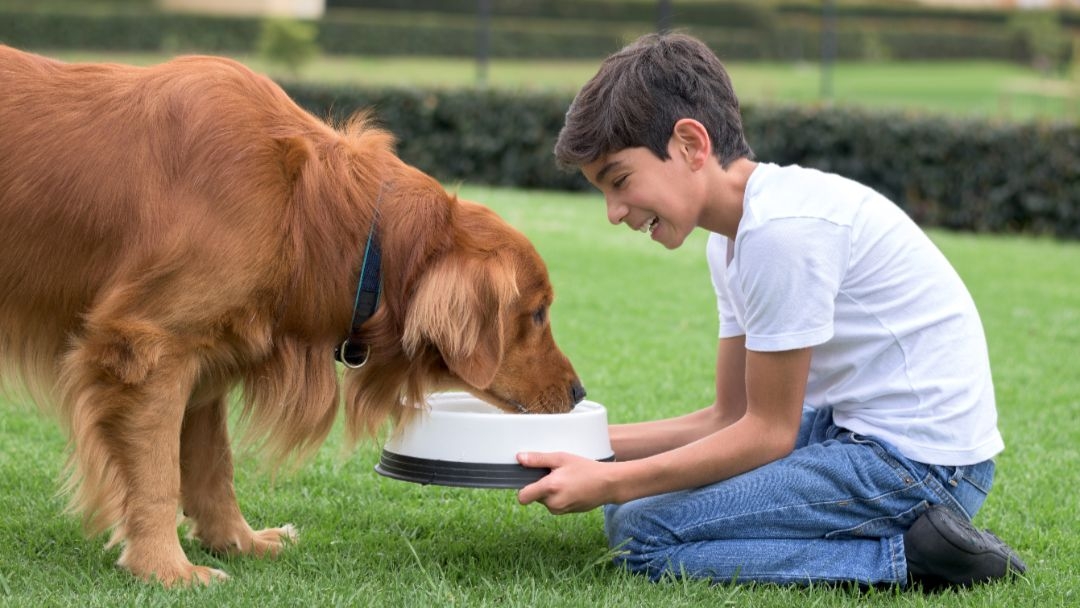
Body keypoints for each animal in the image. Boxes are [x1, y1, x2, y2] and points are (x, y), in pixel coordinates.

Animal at [0, 45, 587, 587]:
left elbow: (213, 465)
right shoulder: (147, 348)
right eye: (537, 313)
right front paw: (165, 568)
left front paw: (236, 540)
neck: (309, 209)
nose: (580, 391)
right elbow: (159, 475)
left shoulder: (202, 356)